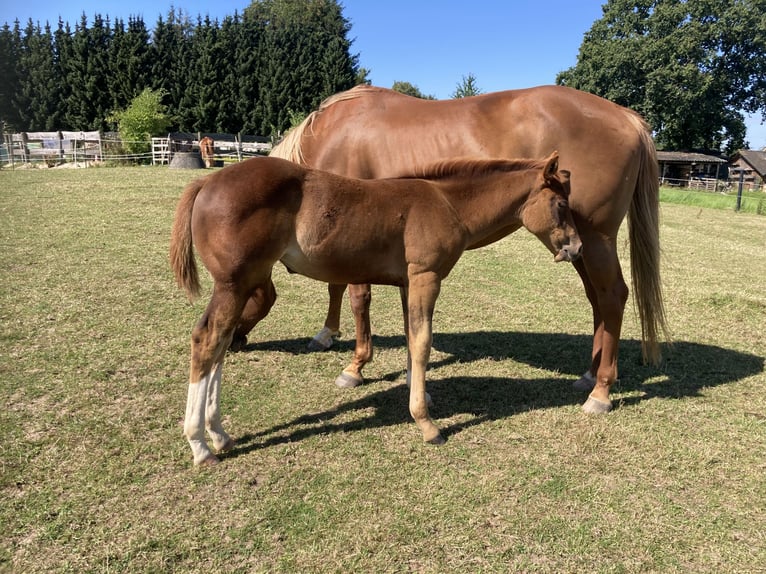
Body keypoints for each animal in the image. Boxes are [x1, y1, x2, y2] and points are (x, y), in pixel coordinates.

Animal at [172, 154, 584, 468]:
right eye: (561, 205)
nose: (577, 248)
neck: (447, 203)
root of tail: (206, 182)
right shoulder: (425, 277)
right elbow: (423, 342)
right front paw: (426, 424)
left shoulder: (407, 283)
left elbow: (411, 338)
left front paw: (421, 396)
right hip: (234, 285)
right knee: (208, 340)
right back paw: (200, 445)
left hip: (242, 286)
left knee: (221, 344)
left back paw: (219, 434)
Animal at [260, 84, 668, 414]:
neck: (331, 136)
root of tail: (628, 118)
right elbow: (346, 289)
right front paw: (333, 337)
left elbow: (356, 297)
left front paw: (355, 366)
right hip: (576, 247)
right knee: (597, 298)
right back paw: (589, 374)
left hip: (595, 239)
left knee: (613, 296)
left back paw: (601, 392)